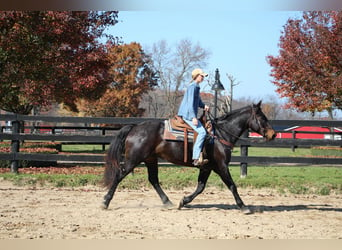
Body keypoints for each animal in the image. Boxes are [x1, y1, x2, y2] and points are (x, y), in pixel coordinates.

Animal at [101, 100, 276, 214]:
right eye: (262, 118)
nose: (273, 134)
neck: (219, 135)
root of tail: (134, 127)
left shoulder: (207, 167)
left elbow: (200, 187)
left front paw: (183, 201)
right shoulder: (221, 166)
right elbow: (232, 186)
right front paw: (243, 206)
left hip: (150, 159)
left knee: (154, 180)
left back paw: (168, 202)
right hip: (133, 160)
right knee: (119, 175)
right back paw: (105, 201)